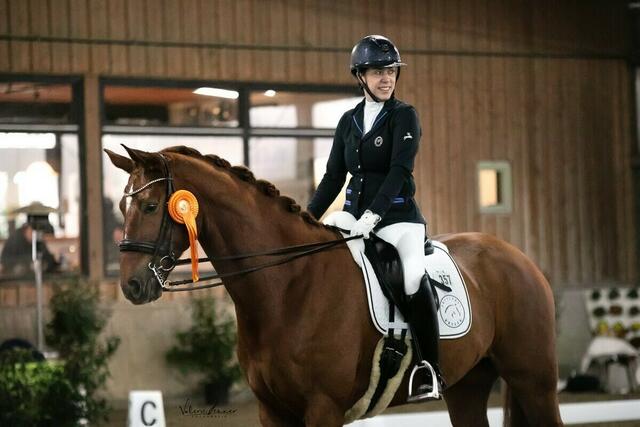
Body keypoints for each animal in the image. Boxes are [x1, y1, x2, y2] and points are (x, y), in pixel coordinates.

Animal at [106, 145, 563, 427]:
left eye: (151, 205)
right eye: (123, 207)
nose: (131, 285)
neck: (287, 288)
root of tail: (518, 257)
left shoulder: (323, 409)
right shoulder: (273, 411)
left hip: (534, 382)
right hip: (468, 385)